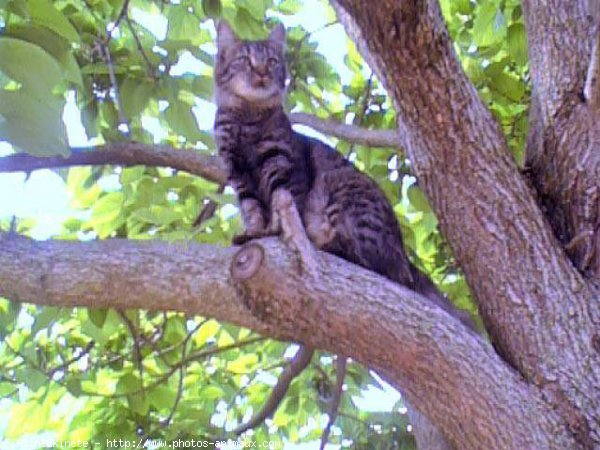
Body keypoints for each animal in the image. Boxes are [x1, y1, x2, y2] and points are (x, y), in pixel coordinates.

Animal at [213, 19, 466, 318]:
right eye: (245, 60)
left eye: (272, 61)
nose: (262, 73)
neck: (246, 119)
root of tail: (405, 258)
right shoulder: (239, 175)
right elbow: (252, 210)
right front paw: (254, 232)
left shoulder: (284, 167)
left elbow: (279, 203)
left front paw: (273, 231)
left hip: (343, 191)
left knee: (369, 260)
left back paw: (326, 246)